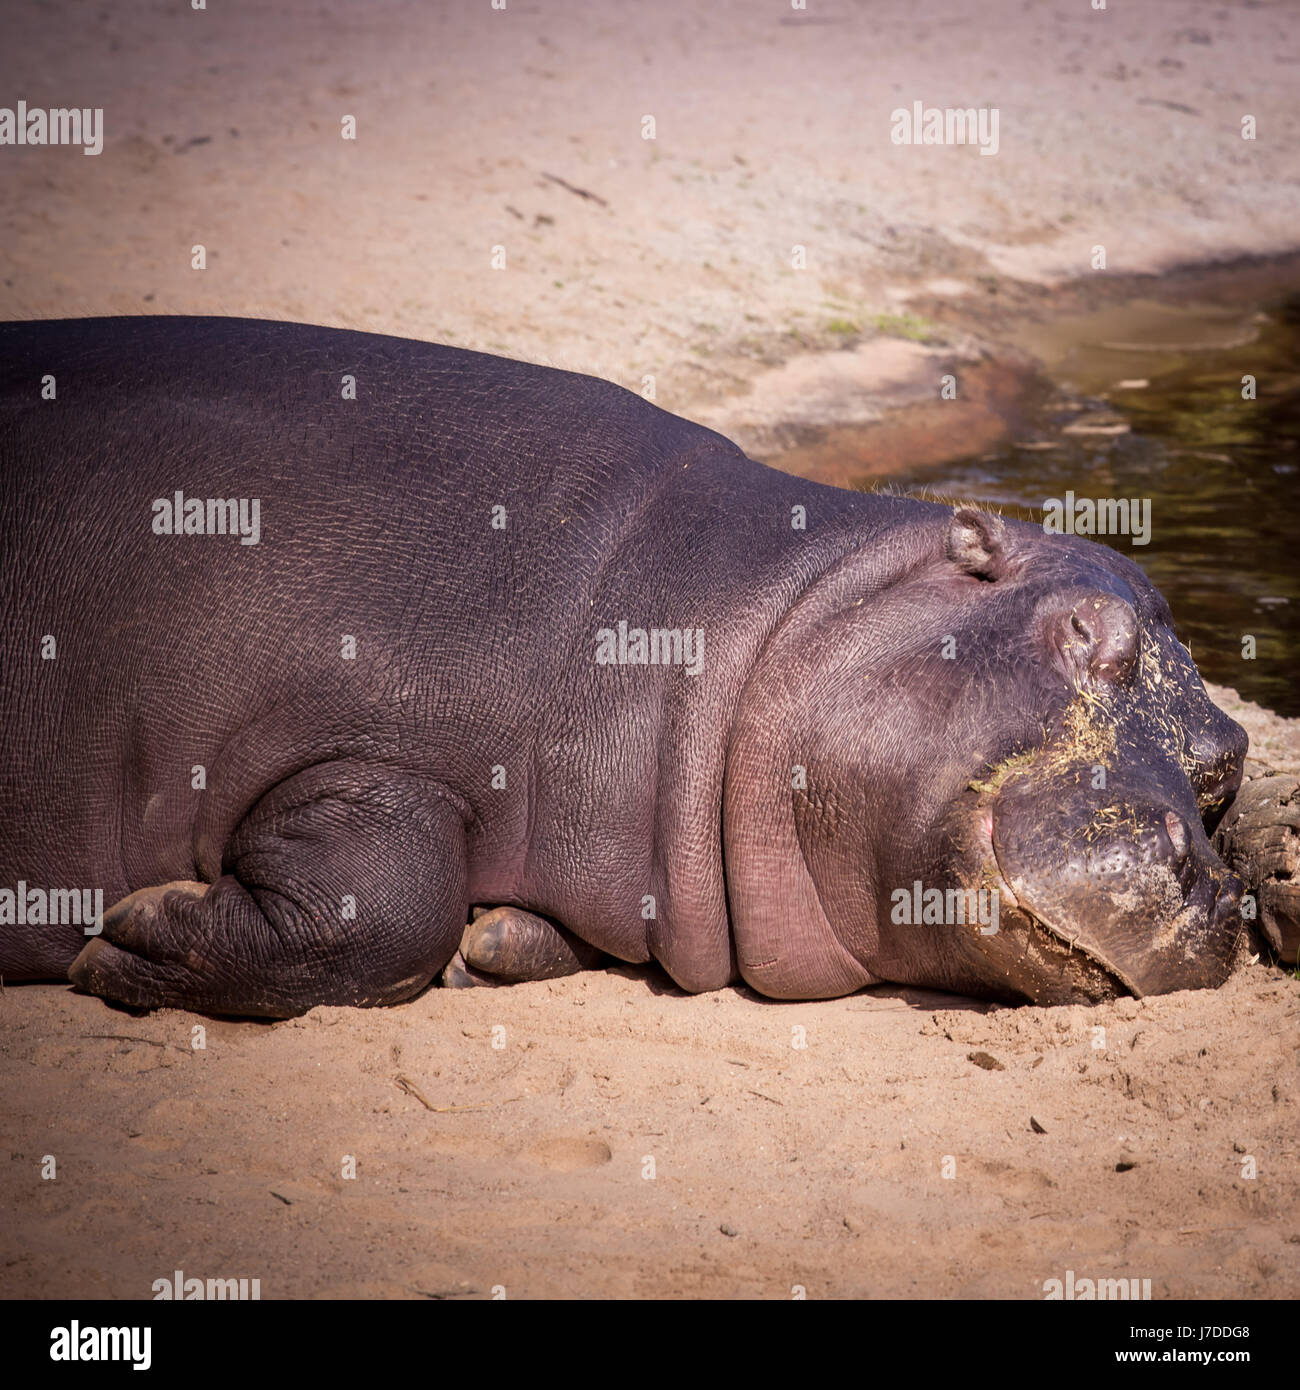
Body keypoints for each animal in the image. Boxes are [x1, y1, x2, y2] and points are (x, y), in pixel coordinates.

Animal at [0, 316, 1248, 1017]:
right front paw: (127, 941)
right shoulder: (363, 734)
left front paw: (496, 943)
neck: (744, 622)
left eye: (1224, 759)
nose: (1206, 879)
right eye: (1083, 631)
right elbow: (386, 909)